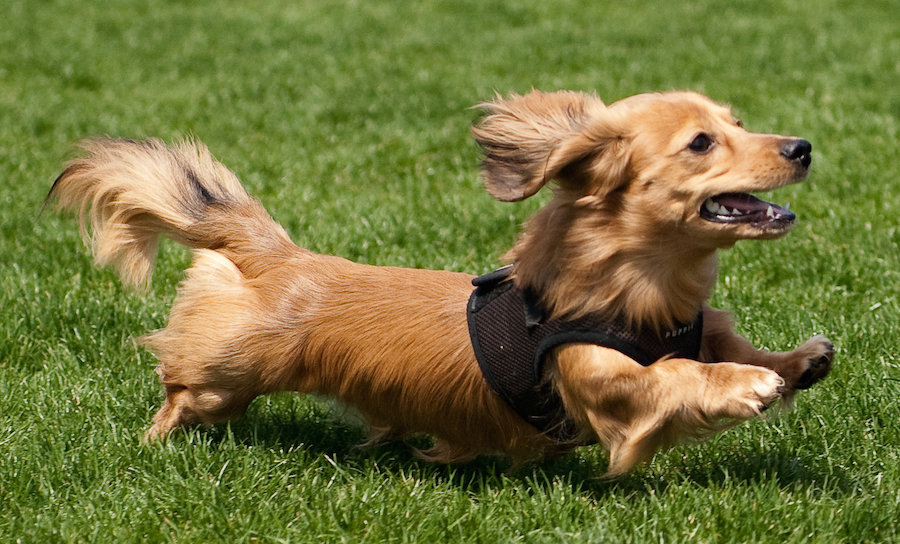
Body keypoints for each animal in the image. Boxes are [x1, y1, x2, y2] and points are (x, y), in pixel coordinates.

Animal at [49, 90, 832, 476]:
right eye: (701, 142)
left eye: (738, 122)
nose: (802, 146)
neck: (645, 291)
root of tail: (280, 257)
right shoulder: (603, 383)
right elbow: (673, 377)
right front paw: (745, 385)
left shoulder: (702, 324)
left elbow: (727, 339)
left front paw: (796, 362)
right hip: (225, 372)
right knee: (182, 392)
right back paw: (153, 443)